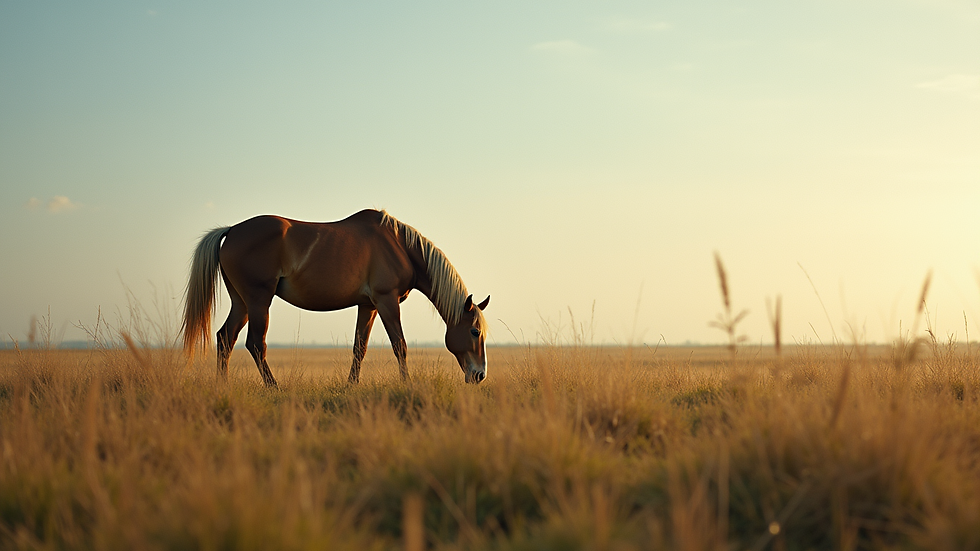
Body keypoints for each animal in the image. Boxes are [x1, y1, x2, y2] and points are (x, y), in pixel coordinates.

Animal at [181, 209, 490, 387]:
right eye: (474, 331)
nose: (480, 375)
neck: (399, 246)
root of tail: (231, 230)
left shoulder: (368, 305)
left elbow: (359, 348)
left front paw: (350, 387)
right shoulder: (386, 301)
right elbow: (400, 345)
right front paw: (407, 385)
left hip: (242, 303)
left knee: (225, 339)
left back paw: (223, 387)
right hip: (258, 301)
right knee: (256, 345)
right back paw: (274, 388)